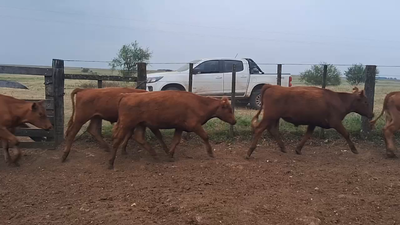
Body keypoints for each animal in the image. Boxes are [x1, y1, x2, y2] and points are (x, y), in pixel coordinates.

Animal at [108, 90, 238, 170]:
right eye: (229, 109)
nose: (234, 121)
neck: (200, 104)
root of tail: (126, 95)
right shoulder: (195, 125)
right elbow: (205, 136)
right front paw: (210, 153)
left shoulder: (179, 127)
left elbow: (176, 141)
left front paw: (170, 155)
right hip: (126, 124)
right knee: (117, 141)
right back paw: (111, 163)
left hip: (140, 124)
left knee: (139, 138)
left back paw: (155, 155)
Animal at [247, 84, 376, 158]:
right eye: (365, 102)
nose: (372, 114)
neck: (340, 100)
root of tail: (272, 86)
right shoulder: (335, 122)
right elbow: (346, 133)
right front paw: (354, 149)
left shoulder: (313, 122)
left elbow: (307, 135)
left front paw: (298, 149)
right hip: (270, 116)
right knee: (259, 129)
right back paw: (249, 152)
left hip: (274, 118)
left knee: (272, 130)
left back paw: (283, 147)